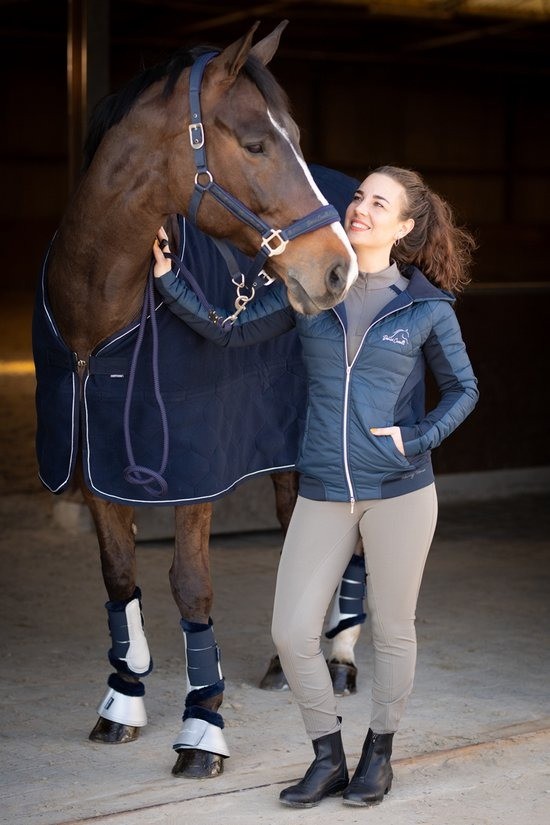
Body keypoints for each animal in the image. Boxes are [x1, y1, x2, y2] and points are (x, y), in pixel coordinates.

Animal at [32, 21, 357, 780]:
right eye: (258, 142)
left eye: (296, 135)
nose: (337, 268)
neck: (101, 315)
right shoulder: (95, 464)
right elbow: (119, 574)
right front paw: (123, 698)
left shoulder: (194, 475)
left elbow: (190, 586)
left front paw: (202, 728)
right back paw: (290, 662)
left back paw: (339, 658)